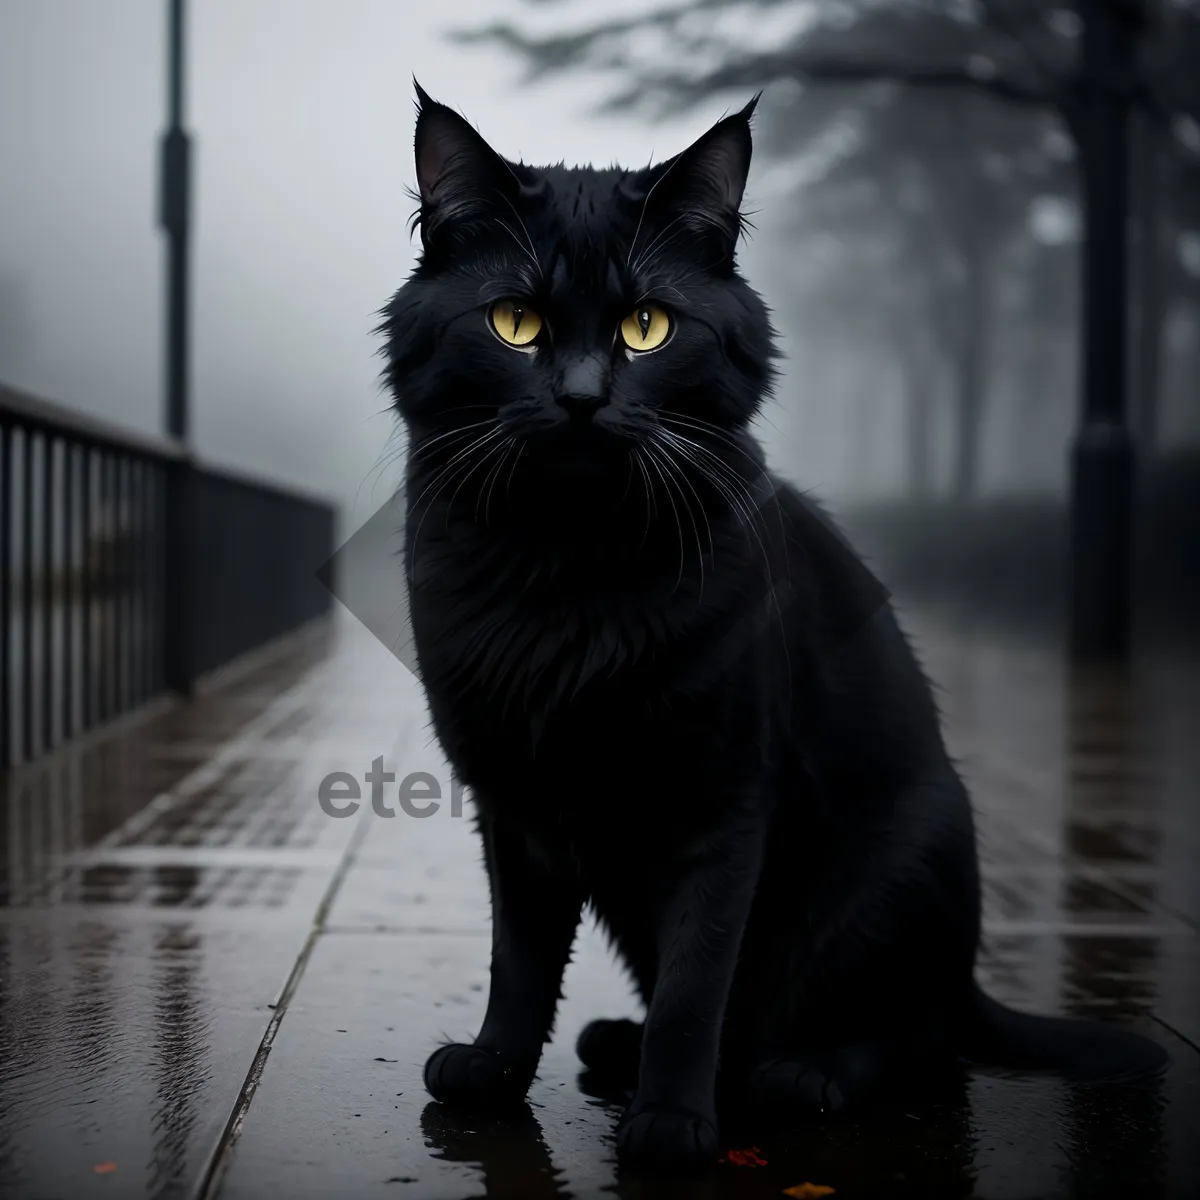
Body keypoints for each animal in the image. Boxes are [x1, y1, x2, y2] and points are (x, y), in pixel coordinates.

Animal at [381, 82, 1161, 1171]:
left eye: (649, 327)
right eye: (515, 321)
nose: (579, 399)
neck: (567, 571)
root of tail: (970, 982)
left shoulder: (723, 796)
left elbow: (697, 978)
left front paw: (672, 1125)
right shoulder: (516, 802)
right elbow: (520, 959)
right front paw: (493, 1076)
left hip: (902, 865)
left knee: (912, 1041)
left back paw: (796, 1075)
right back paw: (616, 1044)